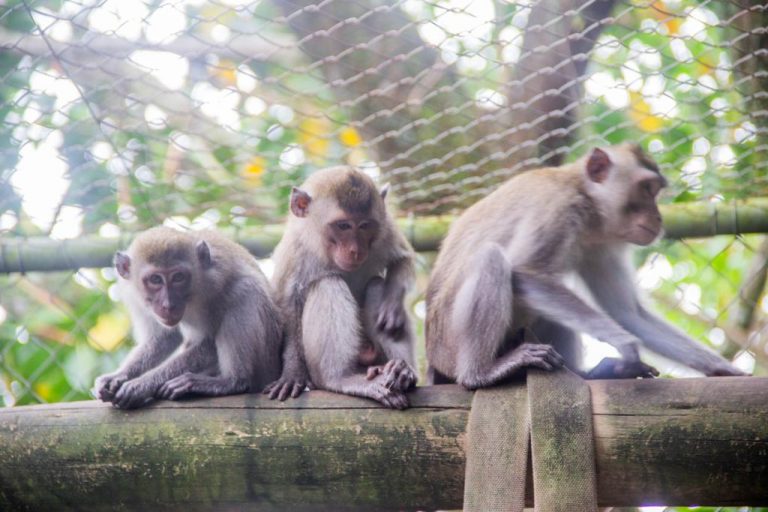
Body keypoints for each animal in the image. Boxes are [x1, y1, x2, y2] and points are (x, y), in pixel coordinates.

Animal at [92, 227, 283, 409]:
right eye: (155, 279)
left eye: (178, 277)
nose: (168, 305)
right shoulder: (136, 297)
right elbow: (165, 337)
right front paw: (118, 376)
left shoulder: (213, 287)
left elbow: (209, 343)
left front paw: (143, 383)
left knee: (246, 289)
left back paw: (232, 381)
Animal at [263, 166, 418, 409]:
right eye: (343, 226)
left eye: (365, 226)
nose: (356, 250)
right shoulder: (294, 252)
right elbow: (287, 307)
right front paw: (292, 372)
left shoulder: (385, 230)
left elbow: (403, 260)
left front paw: (392, 307)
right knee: (328, 283)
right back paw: (340, 378)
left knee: (376, 285)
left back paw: (402, 370)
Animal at [426, 143, 747, 389]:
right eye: (646, 189)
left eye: (655, 192)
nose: (658, 218)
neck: (586, 199)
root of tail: (433, 361)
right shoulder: (557, 207)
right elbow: (526, 273)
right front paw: (625, 344)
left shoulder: (600, 244)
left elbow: (628, 313)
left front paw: (723, 368)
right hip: (447, 344)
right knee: (491, 257)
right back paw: (481, 373)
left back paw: (591, 374)